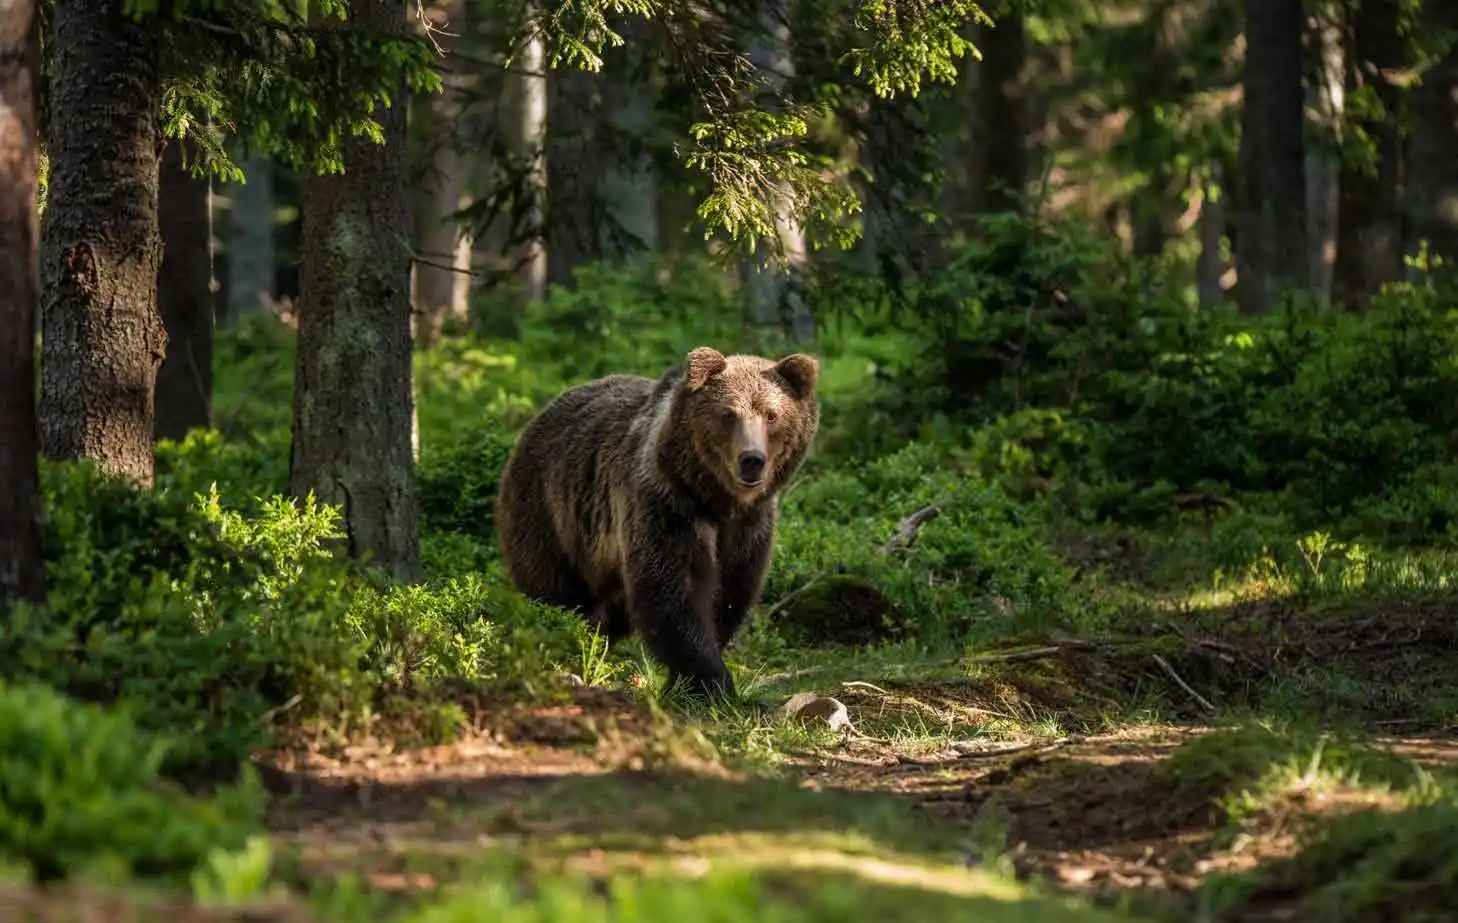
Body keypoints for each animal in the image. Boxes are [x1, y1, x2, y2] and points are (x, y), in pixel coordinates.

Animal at [493, 346, 820, 700]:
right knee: (556, 591)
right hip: (550, 511)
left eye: (771, 415)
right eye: (728, 414)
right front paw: (710, 682)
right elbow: (674, 589)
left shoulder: (749, 526)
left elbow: (729, 590)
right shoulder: (667, 503)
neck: (717, 500)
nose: (751, 461)